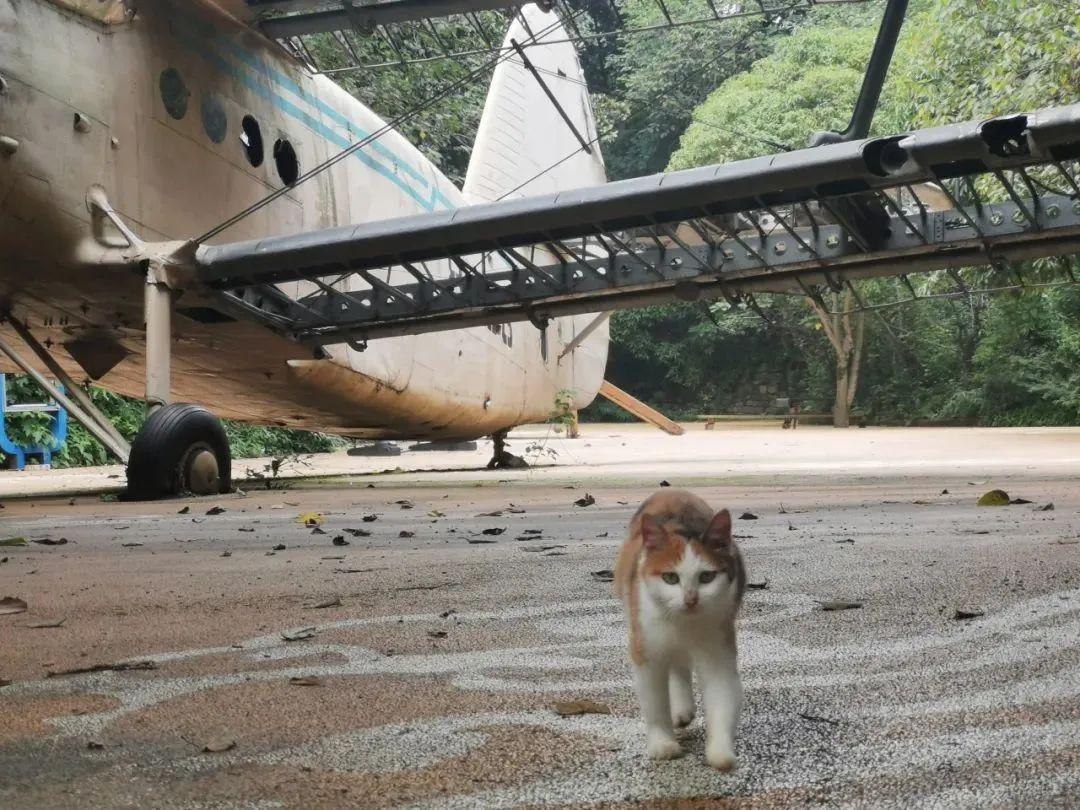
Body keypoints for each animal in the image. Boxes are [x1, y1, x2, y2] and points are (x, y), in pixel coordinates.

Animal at [613, 492, 747, 768]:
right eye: (670, 578)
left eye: (707, 577)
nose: (690, 600)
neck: (682, 622)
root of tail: (671, 492)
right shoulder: (646, 650)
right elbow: (655, 703)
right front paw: (662, 743)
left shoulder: (718, 644)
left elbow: (721, 696)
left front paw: (720, 751)